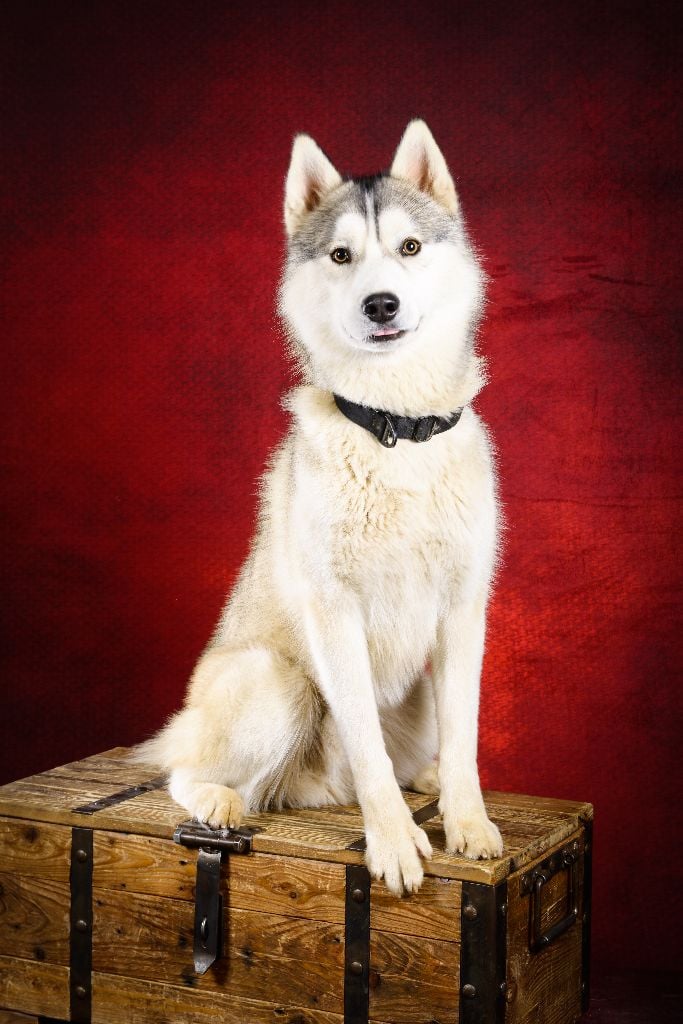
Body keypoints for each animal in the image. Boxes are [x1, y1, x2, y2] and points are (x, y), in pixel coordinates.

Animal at [136, 120, 503, 895]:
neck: (395, 430)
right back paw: (218, 799)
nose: (381, 303)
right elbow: (365, 746)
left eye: (409, 248)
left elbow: (465, 738)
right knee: (189, 774)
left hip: (414, 699)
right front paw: (392, 841)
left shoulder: (464, 609)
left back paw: (423, 779)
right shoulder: (334, 611)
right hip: (276, 682)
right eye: (341, 255)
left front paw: (468, 822)